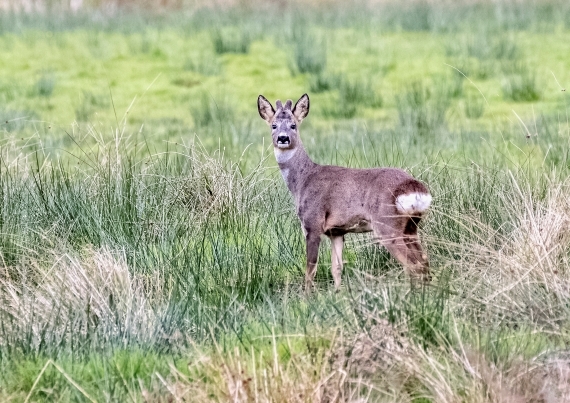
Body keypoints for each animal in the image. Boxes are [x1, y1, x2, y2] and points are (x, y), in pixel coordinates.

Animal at [258, 94, 430, 290]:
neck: (303, 180)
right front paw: (338, 293)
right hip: (411, 227)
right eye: (274, 125)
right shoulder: (337, 232)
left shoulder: (312, 223)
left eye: (293, 125)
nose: (283, 138)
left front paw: (307, 296)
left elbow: (310, 271)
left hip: (387, 225)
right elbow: (336, 268)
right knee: (424, 262)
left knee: (413, 264)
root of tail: (414, 187)